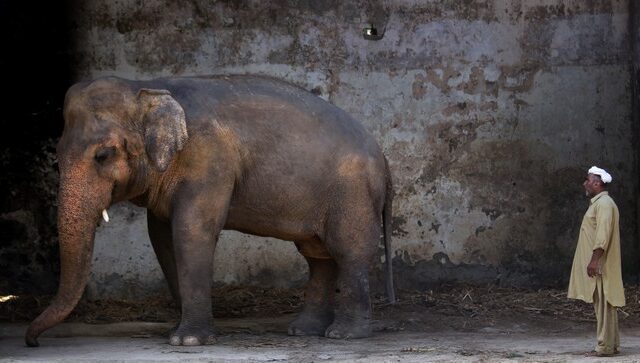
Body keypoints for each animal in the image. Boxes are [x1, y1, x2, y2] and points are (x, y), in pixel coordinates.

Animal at [26, 75, 396, 348]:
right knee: (319, 256)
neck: (148, 87)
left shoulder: (208, 159)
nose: (33, 342)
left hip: (352, 193)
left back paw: (344, 335)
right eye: (56, 154)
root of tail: (384, 158)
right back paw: (303, 331)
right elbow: (161, 237)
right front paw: (177, 333)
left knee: (349, 251)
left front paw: (188, 341)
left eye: (103, 155)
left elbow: (192, 231)